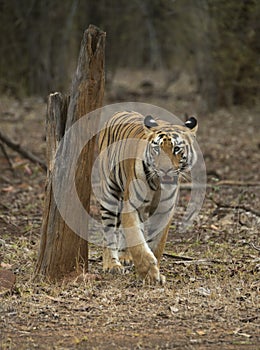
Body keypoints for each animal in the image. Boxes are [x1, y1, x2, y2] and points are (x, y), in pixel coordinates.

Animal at [97, 112, 197, 284]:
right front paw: (149, 274)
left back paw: (125, 257)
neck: (158, 183)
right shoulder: (132, 205)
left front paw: (153, 270)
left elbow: (156, 245)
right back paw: (112, 265)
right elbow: (137, 242)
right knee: (109, 230)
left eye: (176, 148)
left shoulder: (164, 211)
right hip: (110, 193)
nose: (165, 170)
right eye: (157, 149)